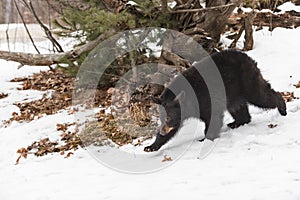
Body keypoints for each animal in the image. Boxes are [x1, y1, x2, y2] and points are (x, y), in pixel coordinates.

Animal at [144, 49, 288, 152]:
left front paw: (205, 139)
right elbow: (174, 129)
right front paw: (150, 147)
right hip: (234, 92)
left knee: (261, 96)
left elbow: (213, 118)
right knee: (238, 108)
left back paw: (282, 108)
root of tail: (248, 57)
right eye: (161, 119)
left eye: (168, 118)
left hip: (246, 80)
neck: (190, 98)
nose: (162, 131)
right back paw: (237, 123)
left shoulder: (205, 99)